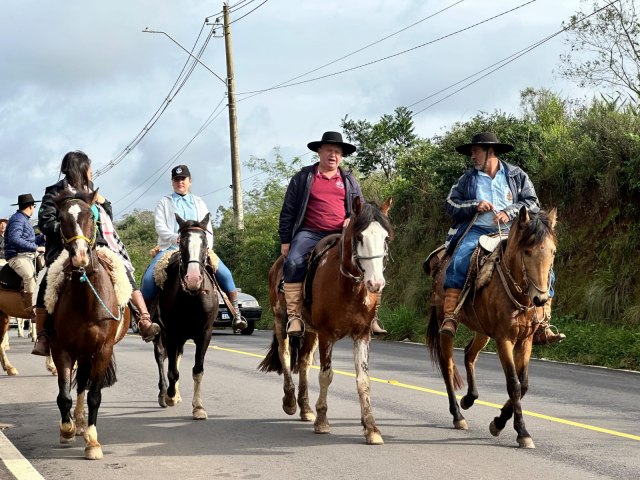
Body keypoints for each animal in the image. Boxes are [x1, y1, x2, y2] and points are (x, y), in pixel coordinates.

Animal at [47, 189, 131, 460]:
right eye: (60, 218)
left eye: (91, 216)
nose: (80, 256)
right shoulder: (61, 348)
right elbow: (63, 395)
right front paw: (67, 429)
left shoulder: (103, 349)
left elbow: (94, 394)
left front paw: (92, 441)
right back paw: (77, 423)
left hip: (88, 353)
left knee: (84, 384)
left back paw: (84, 424)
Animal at [151, 214, 219, 420]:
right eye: (181, 243)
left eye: (205, 243)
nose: (194, 279)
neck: (192, 297)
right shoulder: (172, 333)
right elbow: (172, 371)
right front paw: (170, 396)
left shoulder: (204, 334)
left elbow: (197, 370)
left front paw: (198, 407)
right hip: (160, 332)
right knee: (161, 356)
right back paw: (164, 393)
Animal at [258, 197, 390, 444]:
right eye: (360, 237)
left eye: (385, 237)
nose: (376, 283)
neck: (347, 286)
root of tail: (278, 263)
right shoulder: (327, 335)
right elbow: (326, 375)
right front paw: (322, 421)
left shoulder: (362, 335)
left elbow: (363, 380)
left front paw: (371, 428)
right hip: (281, 320)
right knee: (286, 355)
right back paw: (290, 402)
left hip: (310, 332)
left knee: (303, 362)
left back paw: (305, 408)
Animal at [424, 207, 556, 450]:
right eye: (527, 251)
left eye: (552, 252)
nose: (541, 299)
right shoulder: (504, 339)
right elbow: (513, 384)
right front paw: (521, 432)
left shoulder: (526, 340)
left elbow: (523, 384)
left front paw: (499, 421)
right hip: (444, 321)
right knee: (448, 366)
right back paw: (458, 416)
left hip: (482, 331)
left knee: (469, 354)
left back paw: (469, 398)